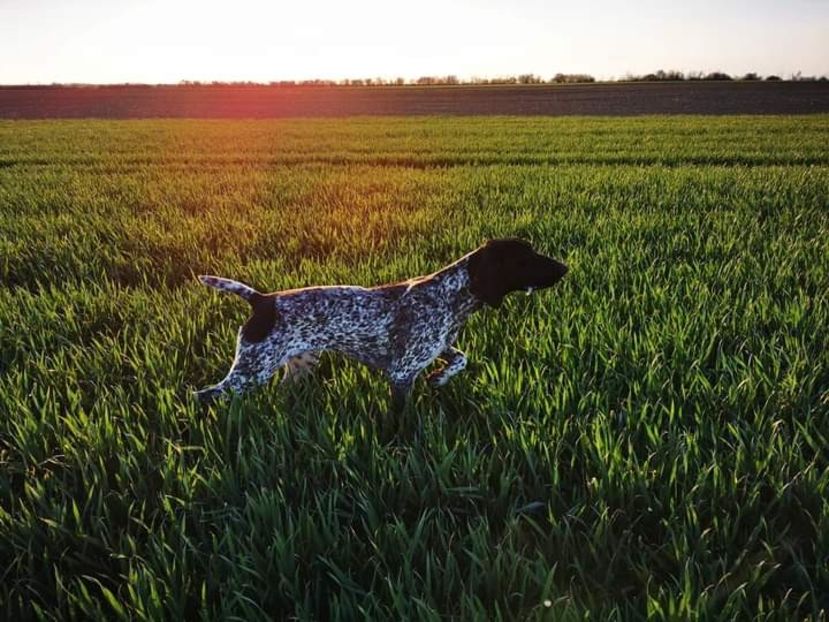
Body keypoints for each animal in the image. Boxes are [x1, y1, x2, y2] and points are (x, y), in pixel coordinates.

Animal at [197, 238, 568, 410]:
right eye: (525, 258)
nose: (565, 267)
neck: (452, 294)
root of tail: (263, 300)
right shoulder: (402, 373)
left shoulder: (438, 346)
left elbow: (461, 357)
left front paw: (441, 378)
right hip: (251, 370)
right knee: (206, 395)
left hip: (298, 366)